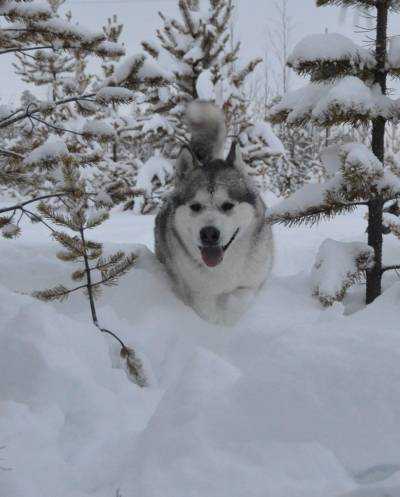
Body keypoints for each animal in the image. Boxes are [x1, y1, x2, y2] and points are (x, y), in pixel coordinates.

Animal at [155, 101, 274, 326]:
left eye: (227, 205)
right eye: (195, 206)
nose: (209, 234)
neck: (223, 267)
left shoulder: (251, 283)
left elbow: (238, 303)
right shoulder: (200, 293)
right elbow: (209, 314)